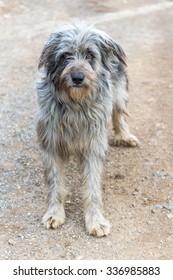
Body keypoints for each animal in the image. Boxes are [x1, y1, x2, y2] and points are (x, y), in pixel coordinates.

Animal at [36, 23, 139, 236]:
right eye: (65, 56)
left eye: (90, 55)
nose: (77, 77)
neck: (75, 104)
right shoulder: (50, 143)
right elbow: (55, 183)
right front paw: (54, 213)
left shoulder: (93, 145)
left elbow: (92, 187)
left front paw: (95, 221)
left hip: (119, 90)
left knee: (118, 113)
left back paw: (124, 136)